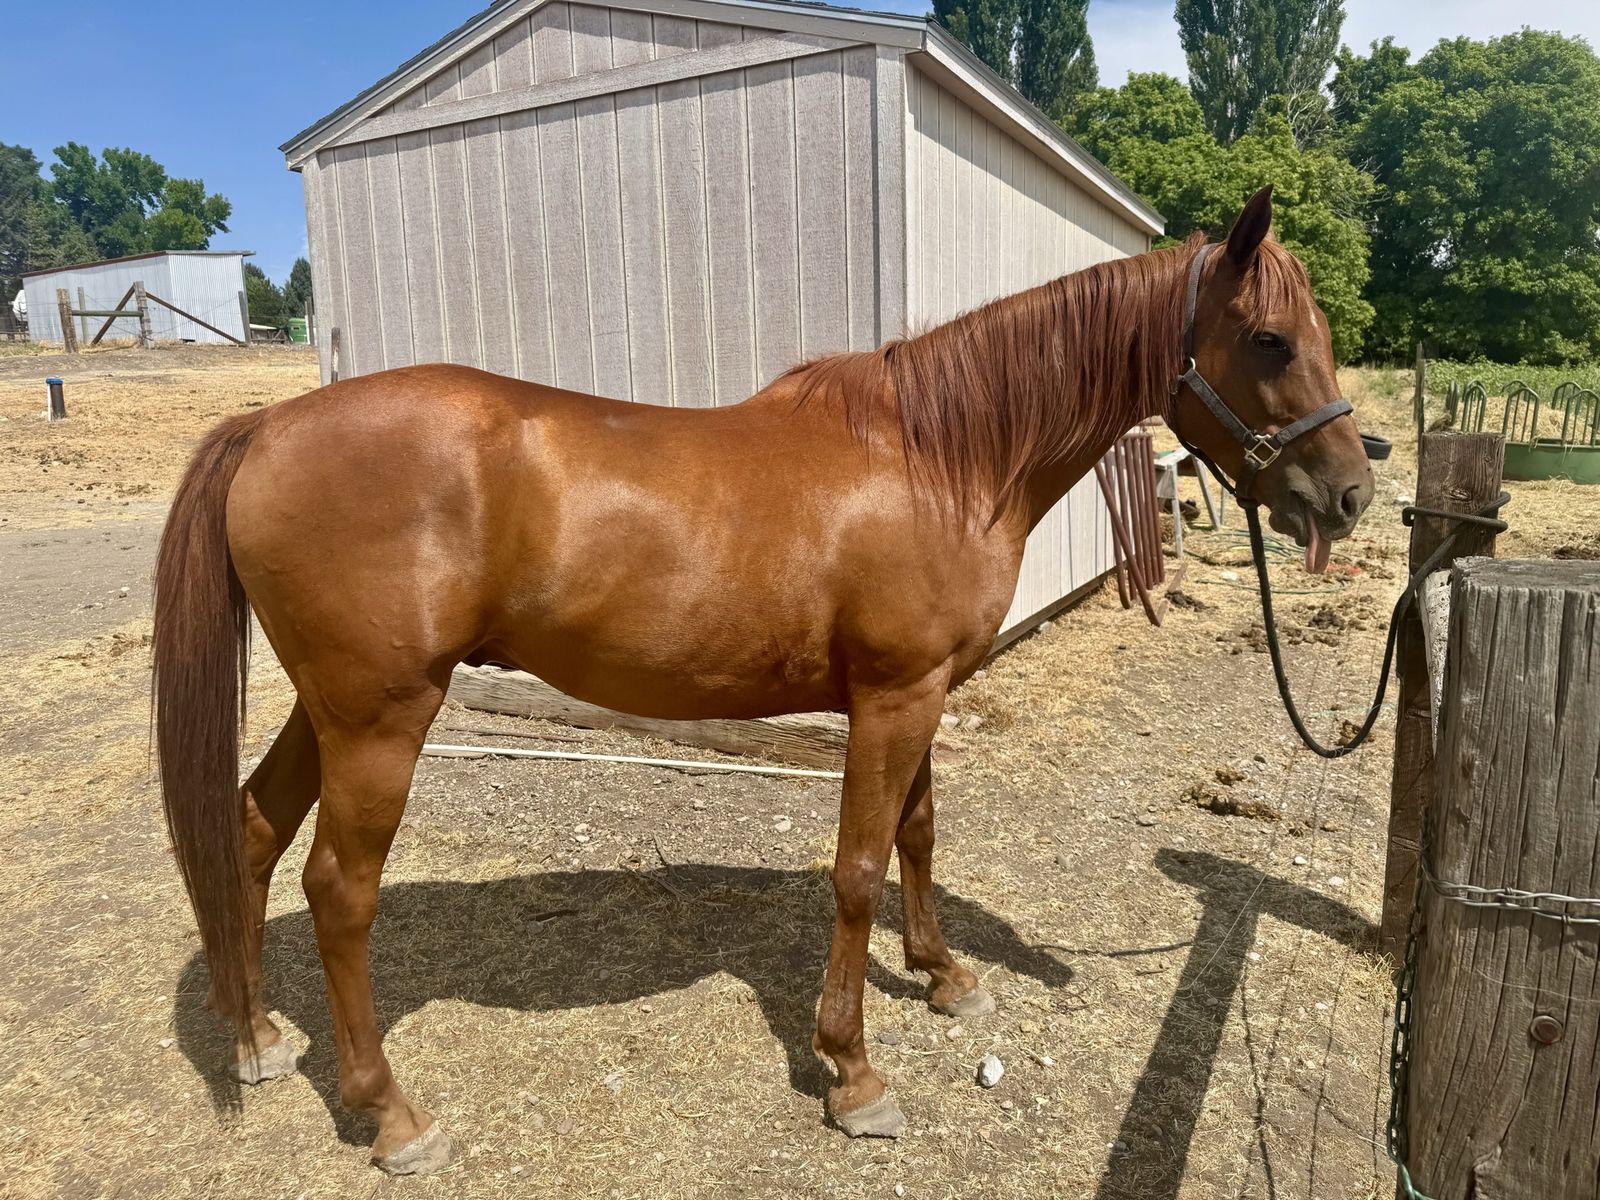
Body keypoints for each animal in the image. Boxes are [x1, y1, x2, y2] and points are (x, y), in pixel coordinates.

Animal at [152, 186, 1373, 1174]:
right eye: (1270, 339)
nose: (1352, 494)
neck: (938, 457)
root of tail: (270, 424)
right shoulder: (891, 699)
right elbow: (858, 867)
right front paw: (854, 1073)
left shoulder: (923, 692)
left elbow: (919, 835)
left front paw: (942, 976)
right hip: (381, 719)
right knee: (337, 891)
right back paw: (393, 1116)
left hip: (333, 709)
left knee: (250, 830)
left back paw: (259, 1040)